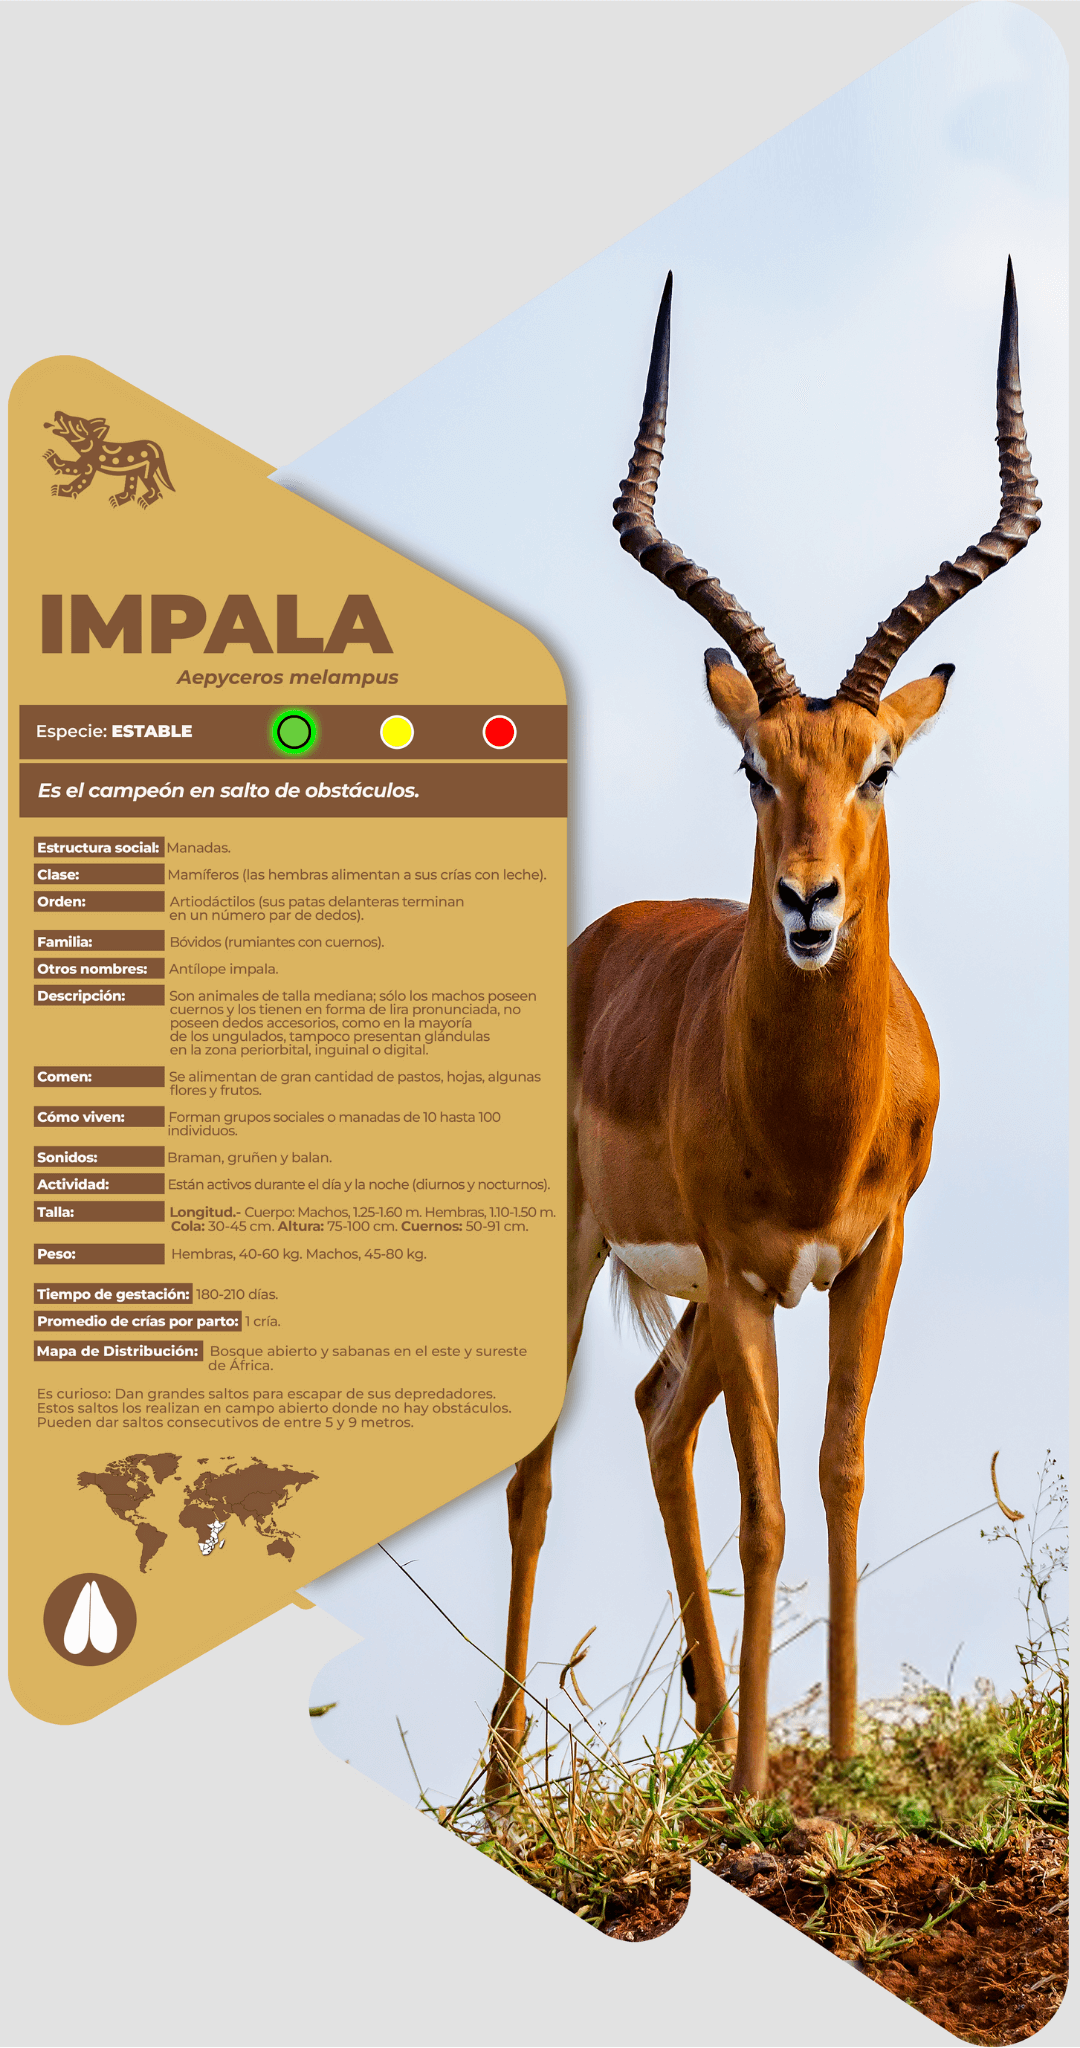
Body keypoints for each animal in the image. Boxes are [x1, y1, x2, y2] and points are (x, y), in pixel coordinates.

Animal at [488, 261, 1040, 1797]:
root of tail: (605, 937)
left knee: (653, 1416)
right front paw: (749, 1794)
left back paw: (704, 1713)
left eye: (880, 764)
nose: (807, 901)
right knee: (539, 1472)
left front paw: (835, 1763)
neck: (812, 1120)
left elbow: (838, 1481)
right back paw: (509, 1790)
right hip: (573, 1249)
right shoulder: (744, 1269)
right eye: (753, 766)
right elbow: (766, 1508)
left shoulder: (868, 1254)